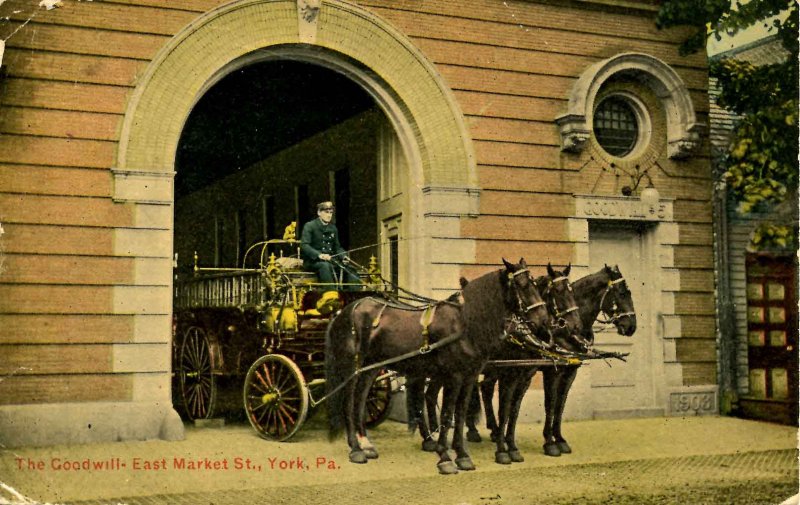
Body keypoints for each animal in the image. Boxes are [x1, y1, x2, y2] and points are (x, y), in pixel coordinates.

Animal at [324, 258, 552, 474]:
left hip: (370, 368)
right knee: (348, 402)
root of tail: (346, 311)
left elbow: (460, 414)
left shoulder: (469, 377)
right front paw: (445, 457)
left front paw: (461, 455)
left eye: (534, 283)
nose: (544, 321)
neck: (464, 323)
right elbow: (447, 414)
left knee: (361, 400)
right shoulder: (454, 377)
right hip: (351, 367)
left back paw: (365, 443)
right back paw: (355, 448)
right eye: (522, 285)